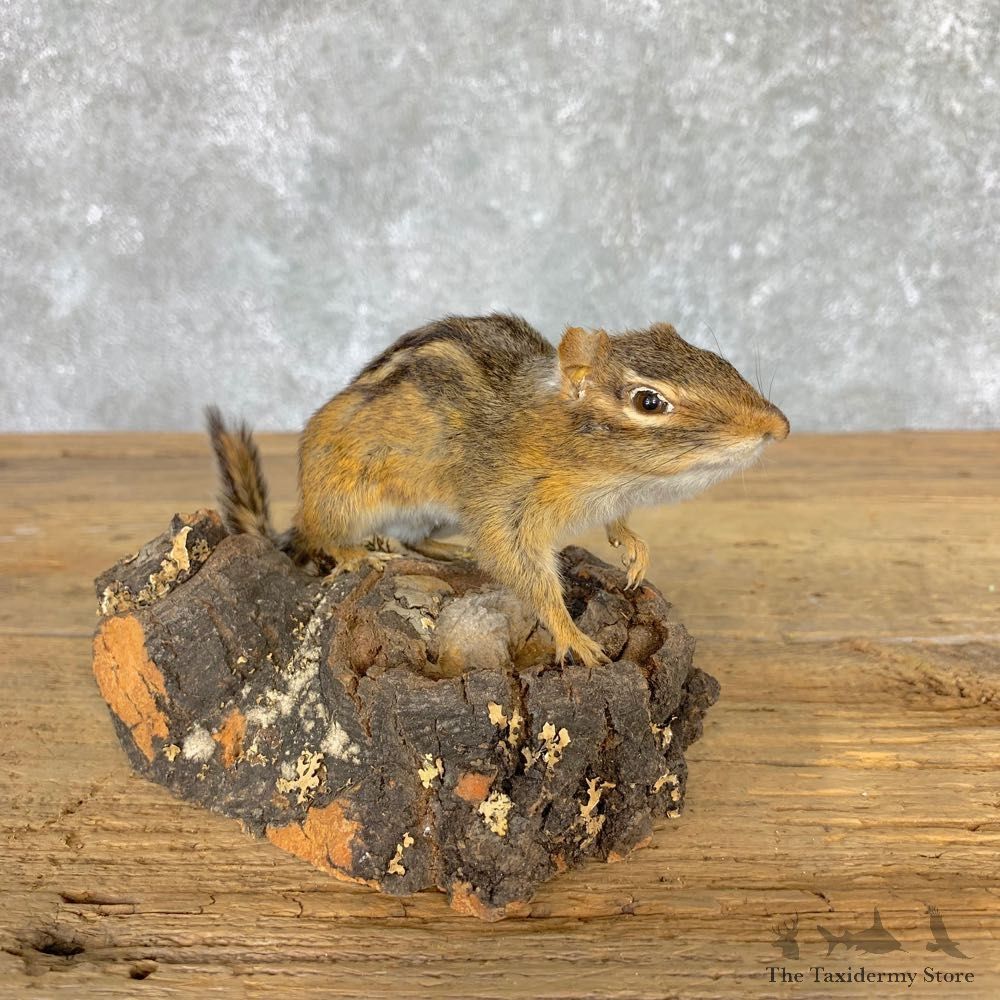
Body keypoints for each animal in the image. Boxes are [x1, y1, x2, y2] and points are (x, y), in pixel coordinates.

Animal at [207, 313, 789, 668]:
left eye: (714, 357)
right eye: (649, 401)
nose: (779, 428)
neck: (612, 479)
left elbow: (618, 526)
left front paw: (634, 548)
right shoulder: (504, 507)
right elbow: (522, 569)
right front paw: (572, 635)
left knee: (416, 540)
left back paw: (450, 550)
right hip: (345, 497)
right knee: (320, 536)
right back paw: (355, 554)